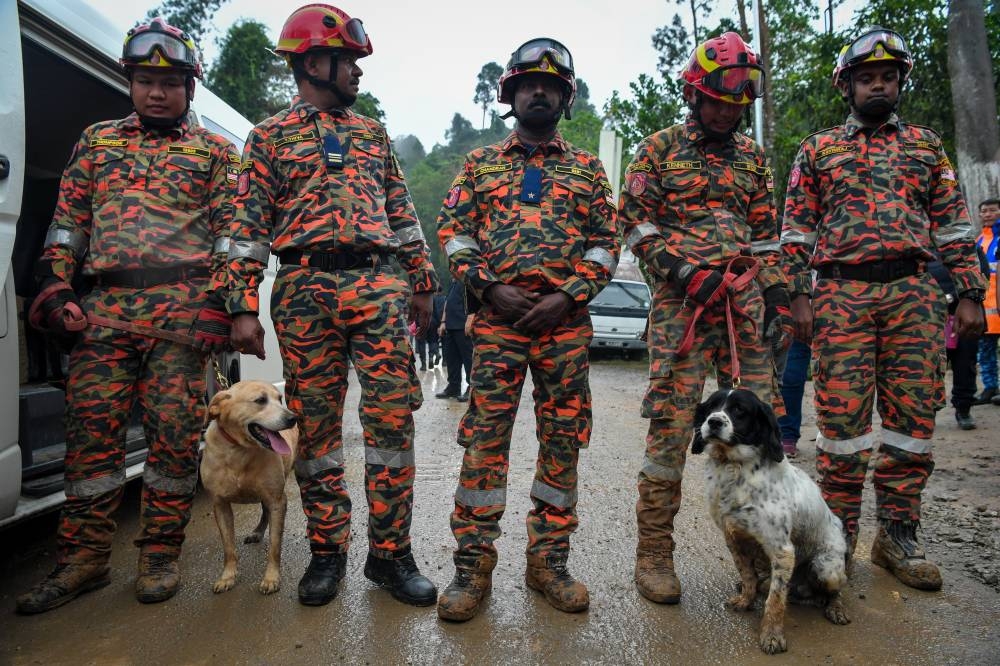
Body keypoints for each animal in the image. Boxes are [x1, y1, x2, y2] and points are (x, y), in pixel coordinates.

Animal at [199, 382, 296, 592]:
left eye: (280, 399)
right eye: (260, 400)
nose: (293, 418)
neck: (239, 451)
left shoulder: (277, 500)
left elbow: (275, 546)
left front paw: (271, 577)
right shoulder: (220, 505)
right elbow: (228, 547)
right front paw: (227, 576)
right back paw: (258, 531)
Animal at [696, 386, 852, 652]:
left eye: (739, 410)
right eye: (711, 407)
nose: (713, 422)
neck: (736, 468)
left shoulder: (782, 550)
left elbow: (775, 600)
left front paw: (771, 635)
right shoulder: (734, 537)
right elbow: (747, 575)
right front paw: (746, 600)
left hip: (827, 567)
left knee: (836, 589)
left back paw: (836, 608)